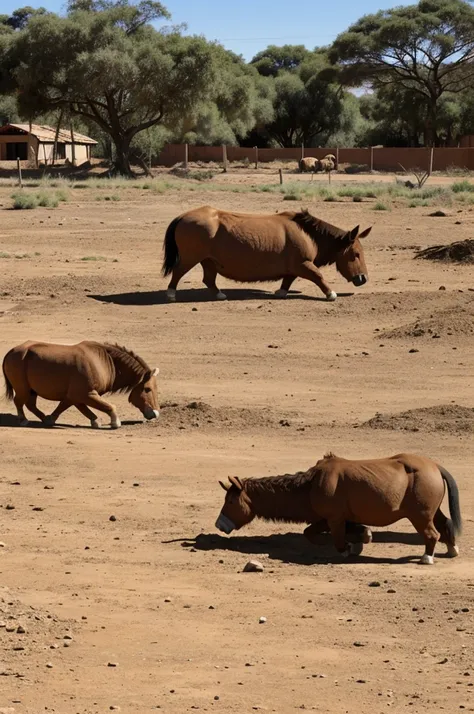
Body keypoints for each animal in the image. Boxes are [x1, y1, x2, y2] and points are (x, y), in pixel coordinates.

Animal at [1, 340, 161, 428]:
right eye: (147, 389)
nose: (155, 413)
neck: (106, 362)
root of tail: (11, 352)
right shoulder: (84, 393)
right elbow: (108, 406)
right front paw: (115, 422)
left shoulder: (75, 395)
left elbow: (66, 406)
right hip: (23, 388)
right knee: (19, 401)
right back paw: (23, 420)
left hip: (32, 390)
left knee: (30, 404)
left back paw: (43, 418)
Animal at [162, 209, 370, 304]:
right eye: (356, 254)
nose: (363, 279)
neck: (311, 234)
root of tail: (182, 216)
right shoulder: (303, 263)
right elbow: (318, 276)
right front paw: (331, 294)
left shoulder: (295, 265)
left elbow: (288, 279)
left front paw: (281, 292)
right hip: (191, 257)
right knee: (178, 271)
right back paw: (171, 294)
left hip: (208, 259)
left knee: (208, 278)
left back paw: (219, 294)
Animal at [217, 450, 462, 560]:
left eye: (230, 501)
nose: (219, 524)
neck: (310, 485)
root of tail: (435, 467)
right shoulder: (332, 518)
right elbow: (311, 532)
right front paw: (362, 538)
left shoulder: (334, 519)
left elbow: (333, 540)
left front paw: (349, 547)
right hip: (432, 512)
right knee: (445, 523)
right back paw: (451, 549)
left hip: (420, 515)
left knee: (431, 533)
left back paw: (427, 557)